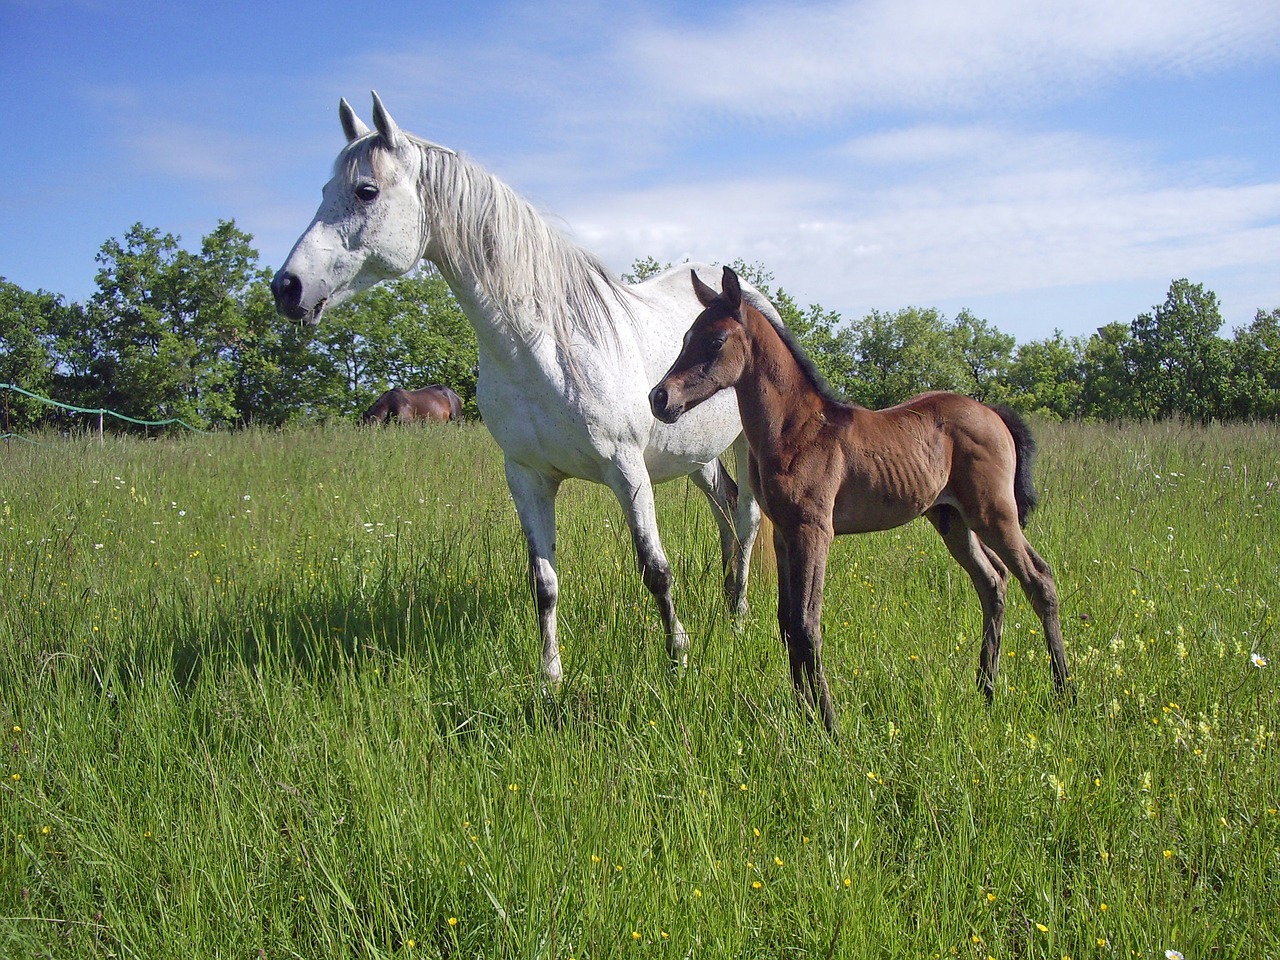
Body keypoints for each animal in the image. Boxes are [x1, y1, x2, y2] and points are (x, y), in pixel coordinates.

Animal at [272, 94, 778, 686]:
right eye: (324, 190)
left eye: (366, 191)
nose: (287, 288)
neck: (546, 346)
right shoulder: (527, 476)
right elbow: (544, 584)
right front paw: (549, 679)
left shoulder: (627, 469)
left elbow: (655, 569)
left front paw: (678, 658)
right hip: (697, 455)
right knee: (725, 511)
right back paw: (727, 600)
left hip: (744, 446)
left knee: (746, 520)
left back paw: (738, 618)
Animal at [645, 267, 1075, 732]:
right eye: (686, 336)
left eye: (716, 341)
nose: (659, 398)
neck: (796, 429)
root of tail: (993, 412)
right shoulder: (785, 534)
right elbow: (786, 623)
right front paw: (804, 716)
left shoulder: (815, 531)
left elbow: (807, 624)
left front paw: (830, 725)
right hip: (953, 520)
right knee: (993, 581)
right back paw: (986, 690)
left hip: (994, 513)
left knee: (1039, 579)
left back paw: (1064, 691)